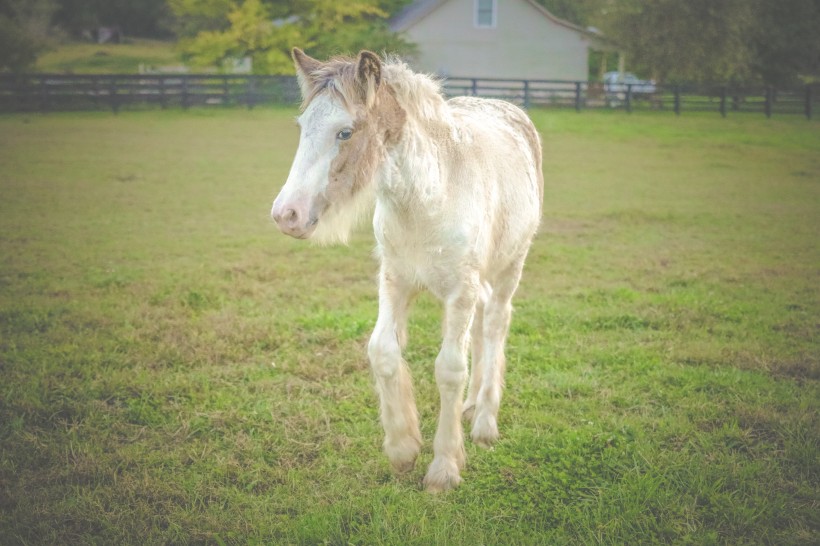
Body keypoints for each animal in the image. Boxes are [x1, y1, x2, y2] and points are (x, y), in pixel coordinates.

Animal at [272, 47, 548, 488]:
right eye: (302, 127)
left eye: (345, 132)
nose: (286, 215)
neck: (430, 197)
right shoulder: (394, 280)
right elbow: (382, 351)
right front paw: (403, 448)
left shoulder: (460, 291)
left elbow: (450, 368)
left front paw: (444, 468)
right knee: (482, 326)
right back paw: (471, 407)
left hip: (509, 267)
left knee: (496, 322)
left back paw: (485, 423)